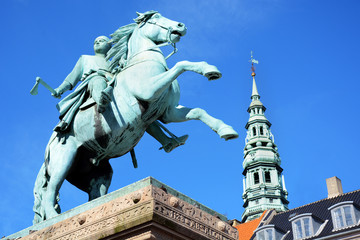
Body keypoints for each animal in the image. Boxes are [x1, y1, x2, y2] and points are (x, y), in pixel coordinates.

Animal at [32, 10, 238, 223]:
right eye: (155, 19)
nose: (181, 26)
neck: (143, 62)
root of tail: (50, 146)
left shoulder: (167, 112)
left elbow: (197, 111)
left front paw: (226, 130)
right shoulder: (150, 89)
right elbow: (181, 64)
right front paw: (208, 69)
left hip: (99, 173)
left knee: (94, 194)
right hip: (64, 160)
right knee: (50, 191)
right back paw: (54, 217)